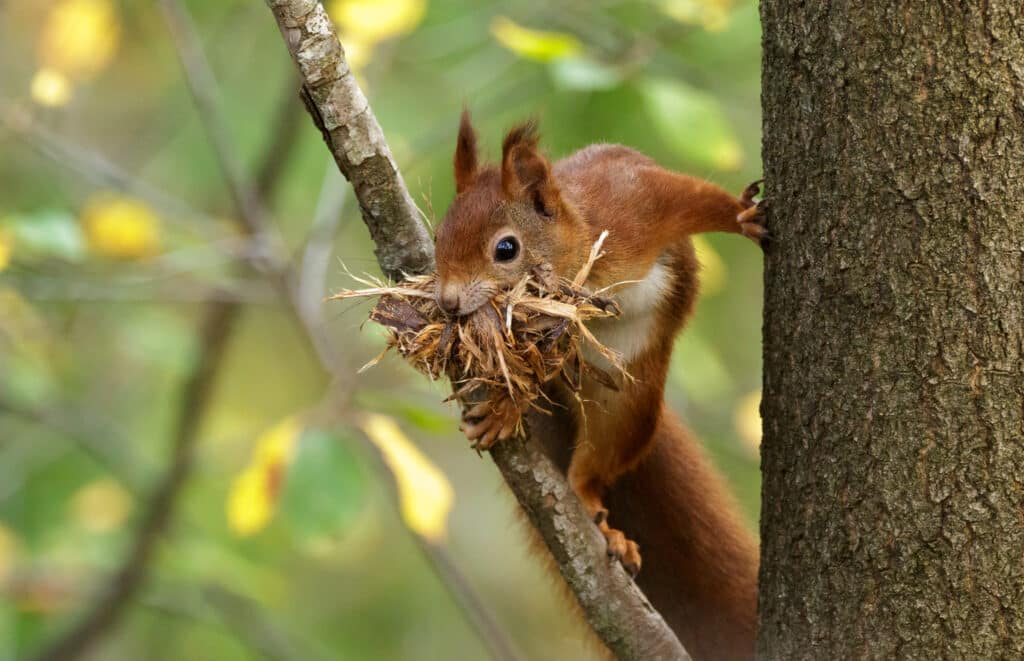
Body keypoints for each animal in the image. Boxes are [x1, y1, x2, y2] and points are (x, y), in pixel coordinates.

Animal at [432, 111, 761, 658]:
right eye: (438, 236)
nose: (449, 302)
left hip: (626, 407)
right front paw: (505, 408)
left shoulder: (635, 208)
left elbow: (692, 196)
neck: (582, 260)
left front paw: (743, 216)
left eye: (506, 248)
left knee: (592, 469)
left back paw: (594, 507)